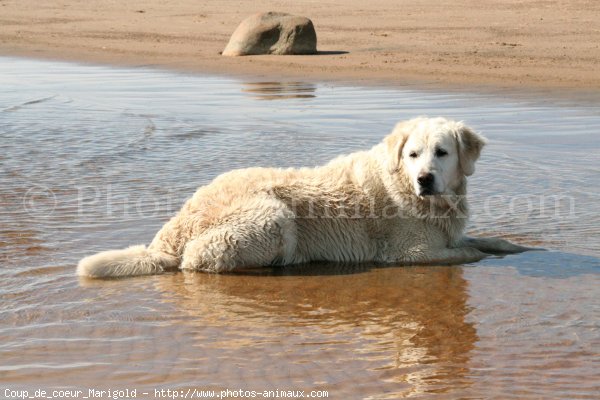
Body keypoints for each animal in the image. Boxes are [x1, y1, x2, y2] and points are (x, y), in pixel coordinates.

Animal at [77, 117, 528, 276]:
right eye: (413, 154)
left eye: (442, 153)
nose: (424, 180)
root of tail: (169, 234)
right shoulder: (410, 251)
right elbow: (468, 252)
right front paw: (487, 255)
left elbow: (486, 240)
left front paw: (519, 247)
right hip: (271, 215)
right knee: (198, 260)